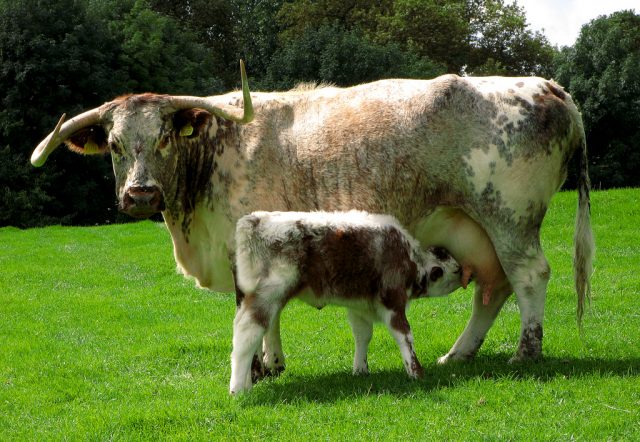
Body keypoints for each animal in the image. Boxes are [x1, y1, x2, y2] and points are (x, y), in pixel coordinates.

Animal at [31, 60, 596, 368]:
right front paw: (272, 361)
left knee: (529, 276)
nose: (141, 194)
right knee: (493, 287)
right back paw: (458, 355)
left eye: (165, 138)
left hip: (509, 217)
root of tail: (552, 88)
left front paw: (266, 364)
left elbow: (257, 309)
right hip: (469, 227)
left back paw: (526, 352)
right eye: (115, 145)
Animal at [230, 211, 460, 394]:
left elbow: (363, 334)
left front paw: (360, 370)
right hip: (268, 296)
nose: (464, 273)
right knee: (246, 335)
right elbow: (404, 335)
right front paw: (416, 372)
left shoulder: (360, 306)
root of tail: (254, 219)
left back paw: (247, 384)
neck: (410, 259)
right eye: (454, 271)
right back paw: (238, 390)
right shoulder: (393, 300)